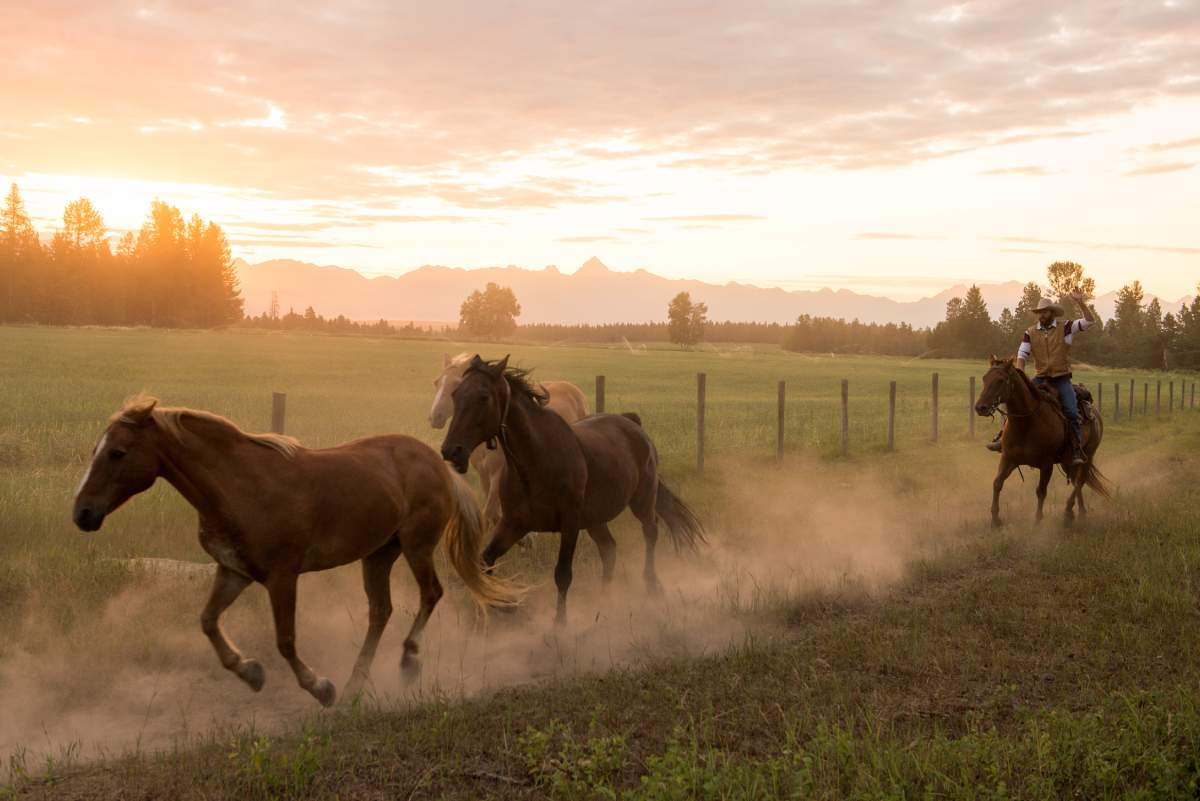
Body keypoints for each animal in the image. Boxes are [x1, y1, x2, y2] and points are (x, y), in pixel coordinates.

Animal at [72, 396, 520, 707]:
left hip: (416, 545)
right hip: (378, 554)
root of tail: (435, 461)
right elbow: (208, 621)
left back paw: (408, 662)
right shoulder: (234, 571)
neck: (239, 486)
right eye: (96, 449)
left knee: (431, 594)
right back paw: (356, 683)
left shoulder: (282, 576)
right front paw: (251, 673)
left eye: (117, 452)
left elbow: (285, 640)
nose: (82, 513)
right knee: (381, 611)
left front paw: (320, 687)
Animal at [429, 352, 589, 527]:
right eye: (437, 382)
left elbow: (489, 512)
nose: (435, 417)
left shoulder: (497, 475)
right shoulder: (484, 476)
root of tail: (573, 389)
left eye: (455, 384)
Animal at [975, 357, 1111, 527]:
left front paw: (1038, 521)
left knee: (1080, 481)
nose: (980, 407)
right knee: (1075, 482)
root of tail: (1095, 412)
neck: (1026, 423)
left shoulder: (1046, 464)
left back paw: (1068, 511)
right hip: (1067, 462)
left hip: (1088, 456)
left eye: (1000, 380)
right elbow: (997, 483)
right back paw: (1079, 513)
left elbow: (1041, 491)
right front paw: (995, 519)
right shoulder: (1008, 458)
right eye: (985, 378)